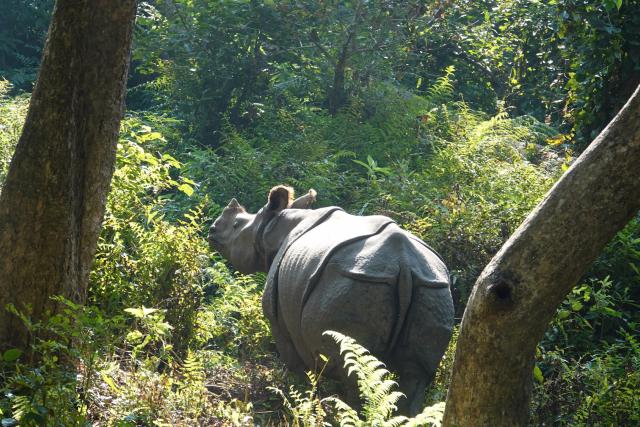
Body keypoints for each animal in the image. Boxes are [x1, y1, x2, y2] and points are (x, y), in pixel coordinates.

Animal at [208, 185, 454, 414]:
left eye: (236, 225)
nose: (212, 230)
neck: (270, 229)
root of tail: (404, 265)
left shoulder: (279, 321)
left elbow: (298, 370)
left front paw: (300, 404)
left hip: (354, 282)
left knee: (357, 375)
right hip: (433, 288)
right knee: (415, 376)